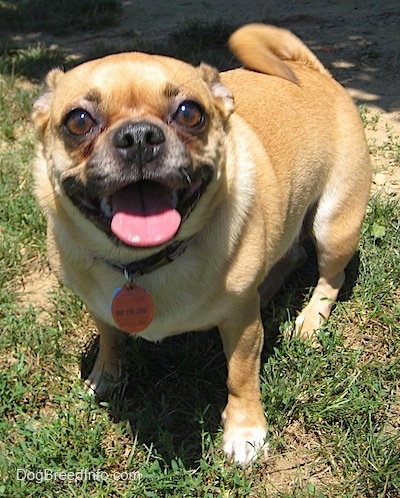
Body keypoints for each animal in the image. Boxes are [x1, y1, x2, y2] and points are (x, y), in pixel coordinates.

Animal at [32, 25, 372, 464]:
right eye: (78, 121)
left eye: (189, 113)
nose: (139, 136)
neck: (142, 263)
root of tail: (311, 70)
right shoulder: (98, 305)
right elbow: (110, 338)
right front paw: (105, 376)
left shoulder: (243, 332)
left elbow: (240, 376)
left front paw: (245, 430)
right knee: (291, 254)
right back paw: (266, 289)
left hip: (334, 224)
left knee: (331, 275)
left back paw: (311, 318)